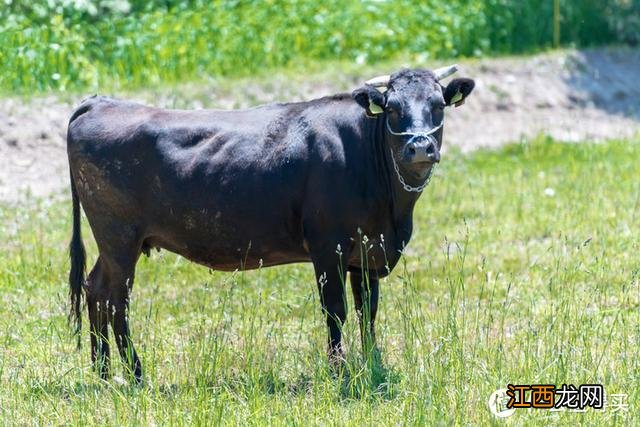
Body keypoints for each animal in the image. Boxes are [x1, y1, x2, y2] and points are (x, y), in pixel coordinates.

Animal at [67, 67, 472, 384]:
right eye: (392, 108)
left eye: (438, 105)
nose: (419, 147)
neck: (393, 212)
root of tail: (100, 102)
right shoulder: (328, 247)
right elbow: (336, 309)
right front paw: (339, 370)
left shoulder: (369, 252)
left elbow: (367, 311)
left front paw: (373, 364)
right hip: (119, 236)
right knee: (116, 299)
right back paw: (135, 374)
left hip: (118, 242)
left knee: (95, 288)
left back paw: (103, 371)